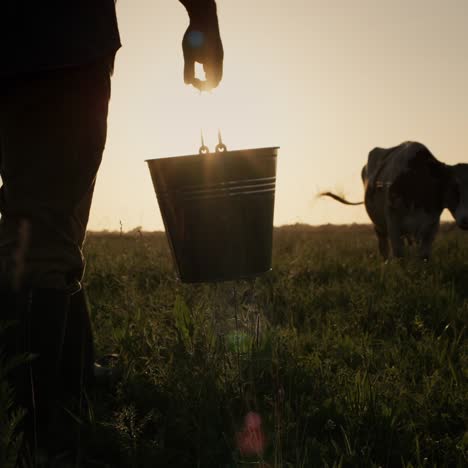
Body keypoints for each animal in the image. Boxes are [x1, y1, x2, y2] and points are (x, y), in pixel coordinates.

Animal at [320, 142, 468, 260]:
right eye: (454, 186)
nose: (466, 220)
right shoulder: (393, 222)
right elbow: (399, 253)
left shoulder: (431, 225)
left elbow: (424, 255)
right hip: (379, 226)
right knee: (384, 247)